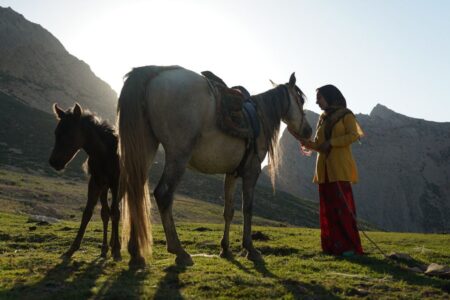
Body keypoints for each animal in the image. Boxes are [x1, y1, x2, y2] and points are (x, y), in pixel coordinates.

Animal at [118, 65, 312, 268]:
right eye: (300, 100)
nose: (308, 131)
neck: (259, 117)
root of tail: (156, 72)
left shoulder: (231, 173)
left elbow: (229, 211)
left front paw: (225, 249)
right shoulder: (251, 172)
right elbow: (247, 209)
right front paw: (250, 249)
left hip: (145, 149)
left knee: (135, 190)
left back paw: (136, 253)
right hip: (178, 155)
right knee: (163, 194)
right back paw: (179, 251)